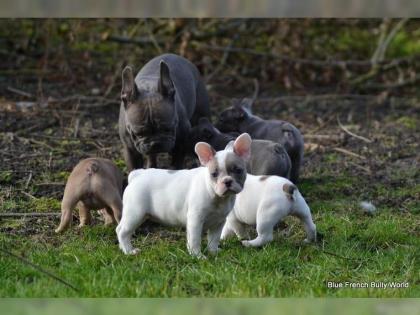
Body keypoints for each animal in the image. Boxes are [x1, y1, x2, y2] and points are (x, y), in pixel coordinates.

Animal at [116, 133, 251, 260]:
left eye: (238, 171)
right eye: (214, 174)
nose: (227, 181)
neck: (216, 196)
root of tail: (136, 175)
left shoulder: (218, 222)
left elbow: (214, 239)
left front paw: (214, 252)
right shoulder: (195, 221)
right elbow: (195, 240)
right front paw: (198, 256)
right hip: (135, 213)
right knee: (122, 231)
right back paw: (129, 251)